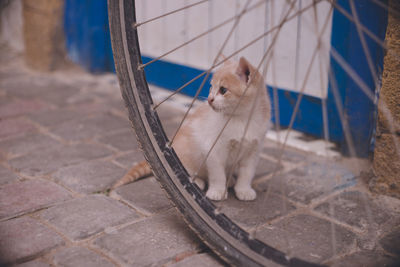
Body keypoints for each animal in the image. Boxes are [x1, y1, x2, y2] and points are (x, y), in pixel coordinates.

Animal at [111, 57, 270, 202]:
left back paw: (229, 180)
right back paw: (198, 182)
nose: (209, 99)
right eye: (211, 88)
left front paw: (244, 190)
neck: (242, 119)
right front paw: (217, 191)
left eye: (223, 90)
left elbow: (247, 172)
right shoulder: (213, 148)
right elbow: (217, 173)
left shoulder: (254, 150)